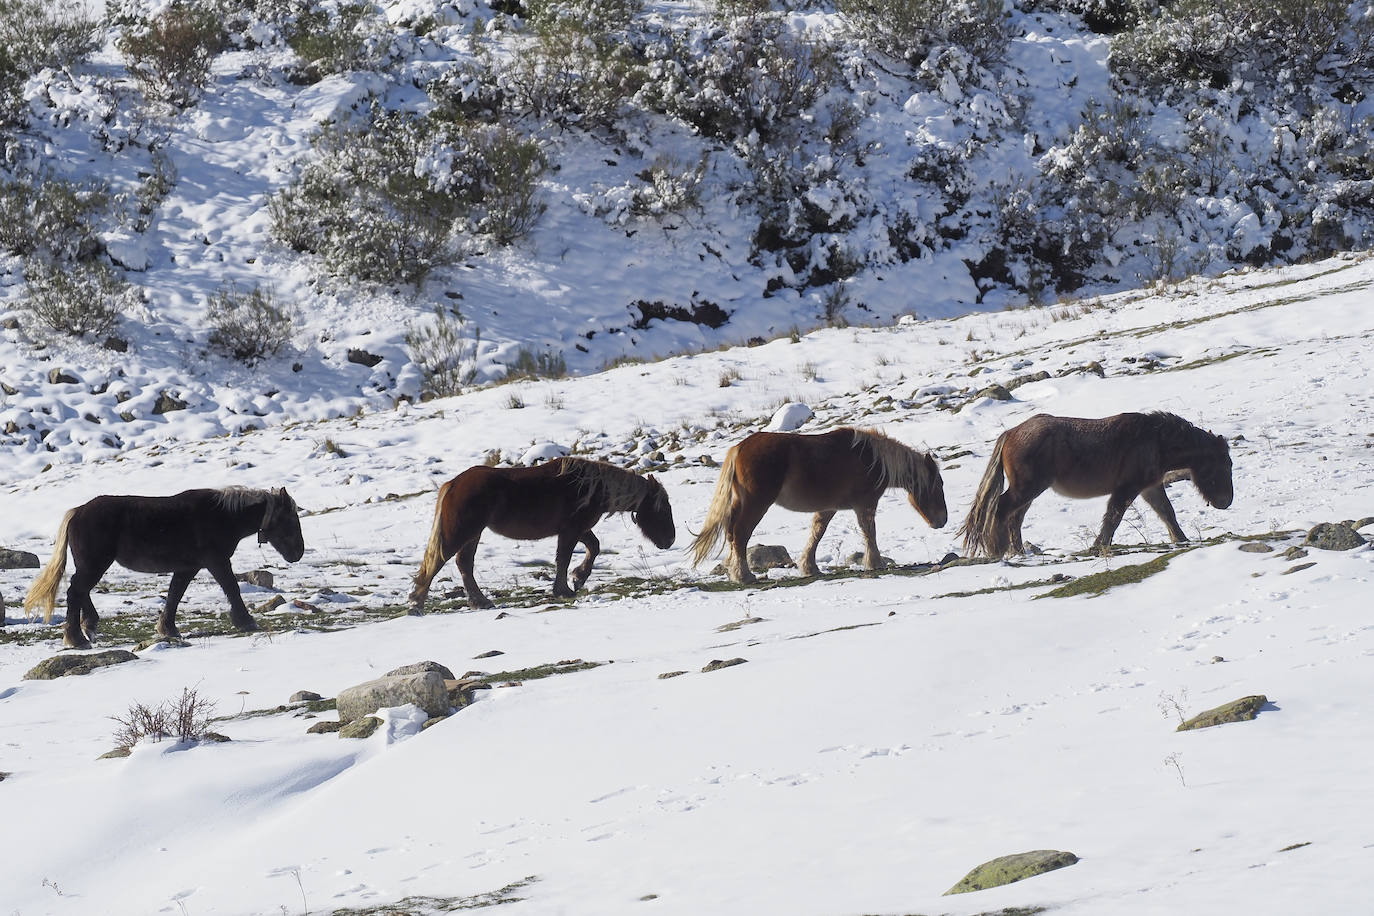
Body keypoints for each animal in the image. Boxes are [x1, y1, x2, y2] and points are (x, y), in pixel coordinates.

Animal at [23, 486, 303, 650]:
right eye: (289, 520)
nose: (297, 553)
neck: (222, 515)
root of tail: (77, 512)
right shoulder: (216, 561)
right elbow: (232, 588)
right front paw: (246, 621)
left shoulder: (188, 568)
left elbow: (174, 595)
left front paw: (167, 629)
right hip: (95, 564)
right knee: (76, 592)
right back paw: (76, 638)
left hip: (93, 564)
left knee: (81, 592)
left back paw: (89, 627)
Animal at [406, 455, 676, 612]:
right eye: (662, 509)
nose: (670, 540)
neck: (592, 488)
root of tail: (452, 484)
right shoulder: (571, 530)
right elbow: (564, 558)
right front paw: (565, 589)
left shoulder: (578, 529)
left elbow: (593, 548)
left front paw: (578, 578)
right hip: (462, 532)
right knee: (439, 561)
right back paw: (417, 602)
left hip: (473, 534)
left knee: (464, 564)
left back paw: (479, 601)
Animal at [687, 425, 945, 585]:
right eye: (938, 484)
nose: (942, 520)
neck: (873, 460)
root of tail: (739, 448)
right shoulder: (866, 504)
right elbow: (869, 533)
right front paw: (875, 563)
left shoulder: (828, 508)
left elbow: (817, 533)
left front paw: (809, 567)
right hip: (756, 503)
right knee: (740, 534)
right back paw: (744, 576)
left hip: (742, 502)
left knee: (732, 533)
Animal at [956, 414, 1236, 560]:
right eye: (1224, 464)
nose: (1226, 501)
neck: (1155, 440)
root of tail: (1010, 433)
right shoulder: (1127, 488)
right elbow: (1113, 518)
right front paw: (1099, 545)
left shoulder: (1150, 487)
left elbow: (1167, 513)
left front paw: (1181, 539)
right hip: (1027, 488)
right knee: (1001, 510)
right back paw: (1000, 550)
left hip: (1030, 491)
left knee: (1014, 518)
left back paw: (1019, 552)